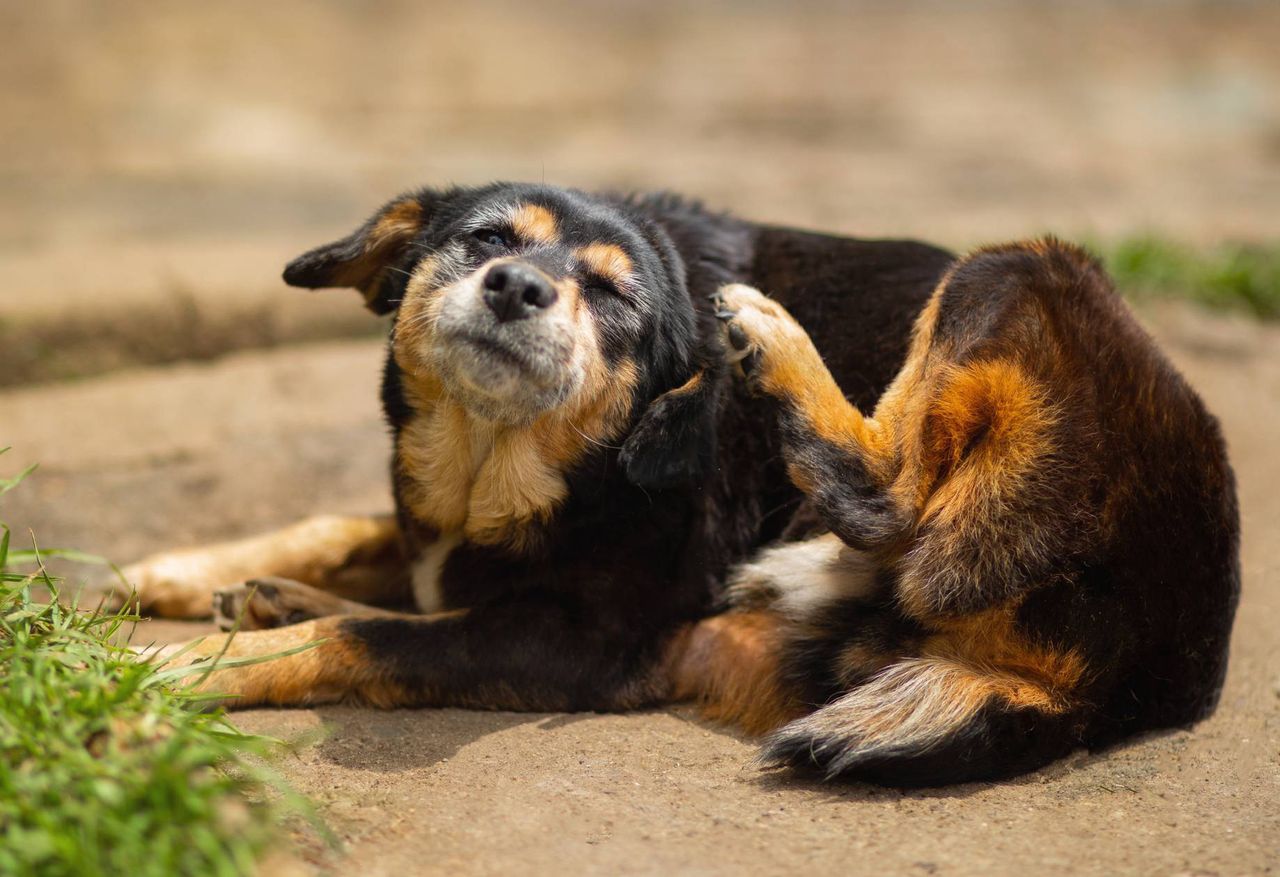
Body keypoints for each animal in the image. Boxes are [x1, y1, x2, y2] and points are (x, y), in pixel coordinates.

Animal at [124, 181, 1233, 783]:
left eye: (612, 295)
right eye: (486, 238)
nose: (517, 287)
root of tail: (1155, 675)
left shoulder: (583, 644)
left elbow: (361, 635)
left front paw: (181, 668)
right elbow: (351, 536)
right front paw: (178, 573)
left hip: (1016, 264)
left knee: (883, 492)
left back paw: (773, 343)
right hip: (731, 644)